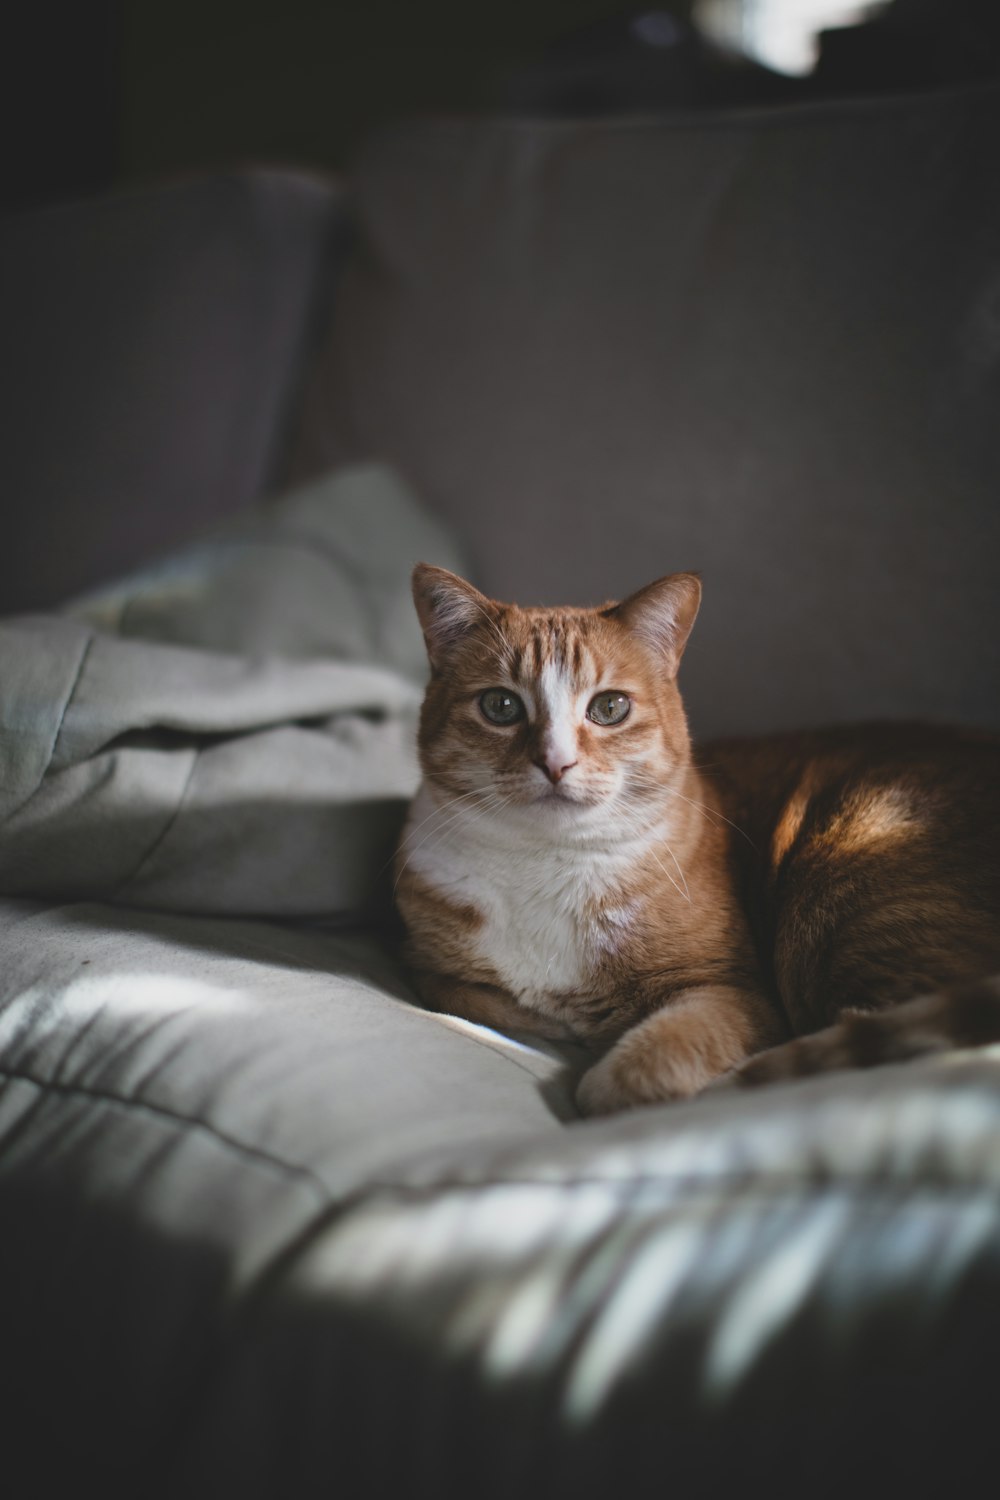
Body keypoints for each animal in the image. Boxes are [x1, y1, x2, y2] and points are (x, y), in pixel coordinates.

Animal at [392, 564, 1000, 1116]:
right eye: (501, 706)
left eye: (609, 707)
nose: (555, 762)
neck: (548, 862)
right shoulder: (432, 973)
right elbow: (492, 1001)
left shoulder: (736, 992)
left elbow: (635, 1069)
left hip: (847, 881)